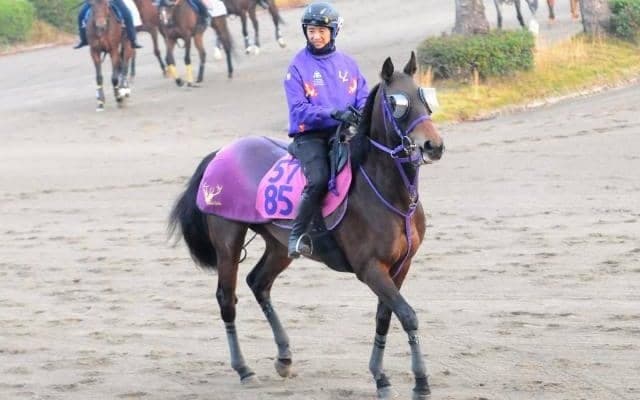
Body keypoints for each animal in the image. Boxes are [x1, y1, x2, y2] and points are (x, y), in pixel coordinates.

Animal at [169, 52, 444, 399]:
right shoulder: (370, 268)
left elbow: (385, 317)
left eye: (424, 96)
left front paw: (381, 376)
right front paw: (420, 382)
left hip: (278, 245)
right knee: (226, 298)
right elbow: (407, 315)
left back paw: (284, 357)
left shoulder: (401, 264)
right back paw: (244, 369)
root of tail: (220, 153)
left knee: (258, 282)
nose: (433, 145)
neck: (386, 192)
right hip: (228, 240)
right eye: (398, 103)